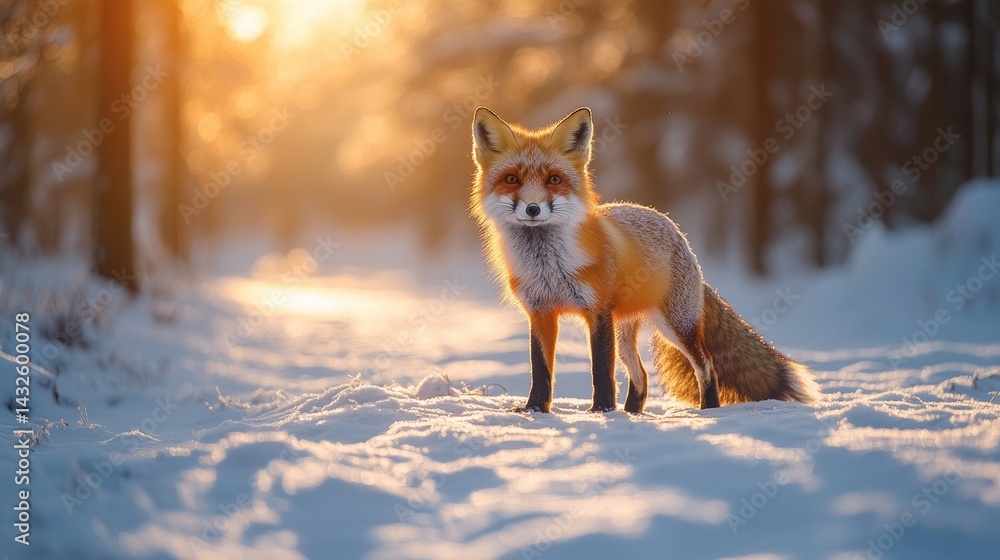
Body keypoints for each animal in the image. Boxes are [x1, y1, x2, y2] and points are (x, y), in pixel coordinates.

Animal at [470, 106, 819, 413]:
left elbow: (601, 372)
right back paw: (632, 415)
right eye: (511, 179)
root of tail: (674, 229)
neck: (548, 265)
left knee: (706, 366)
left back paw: (708, 410)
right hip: (625, 332)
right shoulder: (540, 312)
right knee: (642, 376)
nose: (533, 209)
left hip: (674, 326)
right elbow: (541, 372)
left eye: (554, 180)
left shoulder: (598, 312)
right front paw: (536, 410)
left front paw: (601, 410)